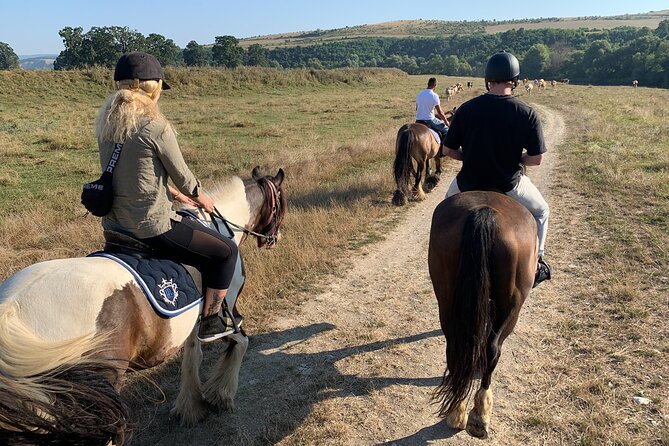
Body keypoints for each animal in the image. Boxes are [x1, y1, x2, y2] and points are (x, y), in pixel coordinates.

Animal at [0, 166, 284, 442]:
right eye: (281, 202)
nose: (275, 238)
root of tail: (11, 310)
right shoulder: (225, 312)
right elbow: (240, 343)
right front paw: (221, 394)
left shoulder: (194, 324)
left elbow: (193, 355)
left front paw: (191, 407)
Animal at [428, 190, 536, 438]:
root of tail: (484, 212)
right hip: (512, 308)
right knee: (493, 348)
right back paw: (480, 415)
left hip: (446, 301)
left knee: (455, 348)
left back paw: (457, 411)